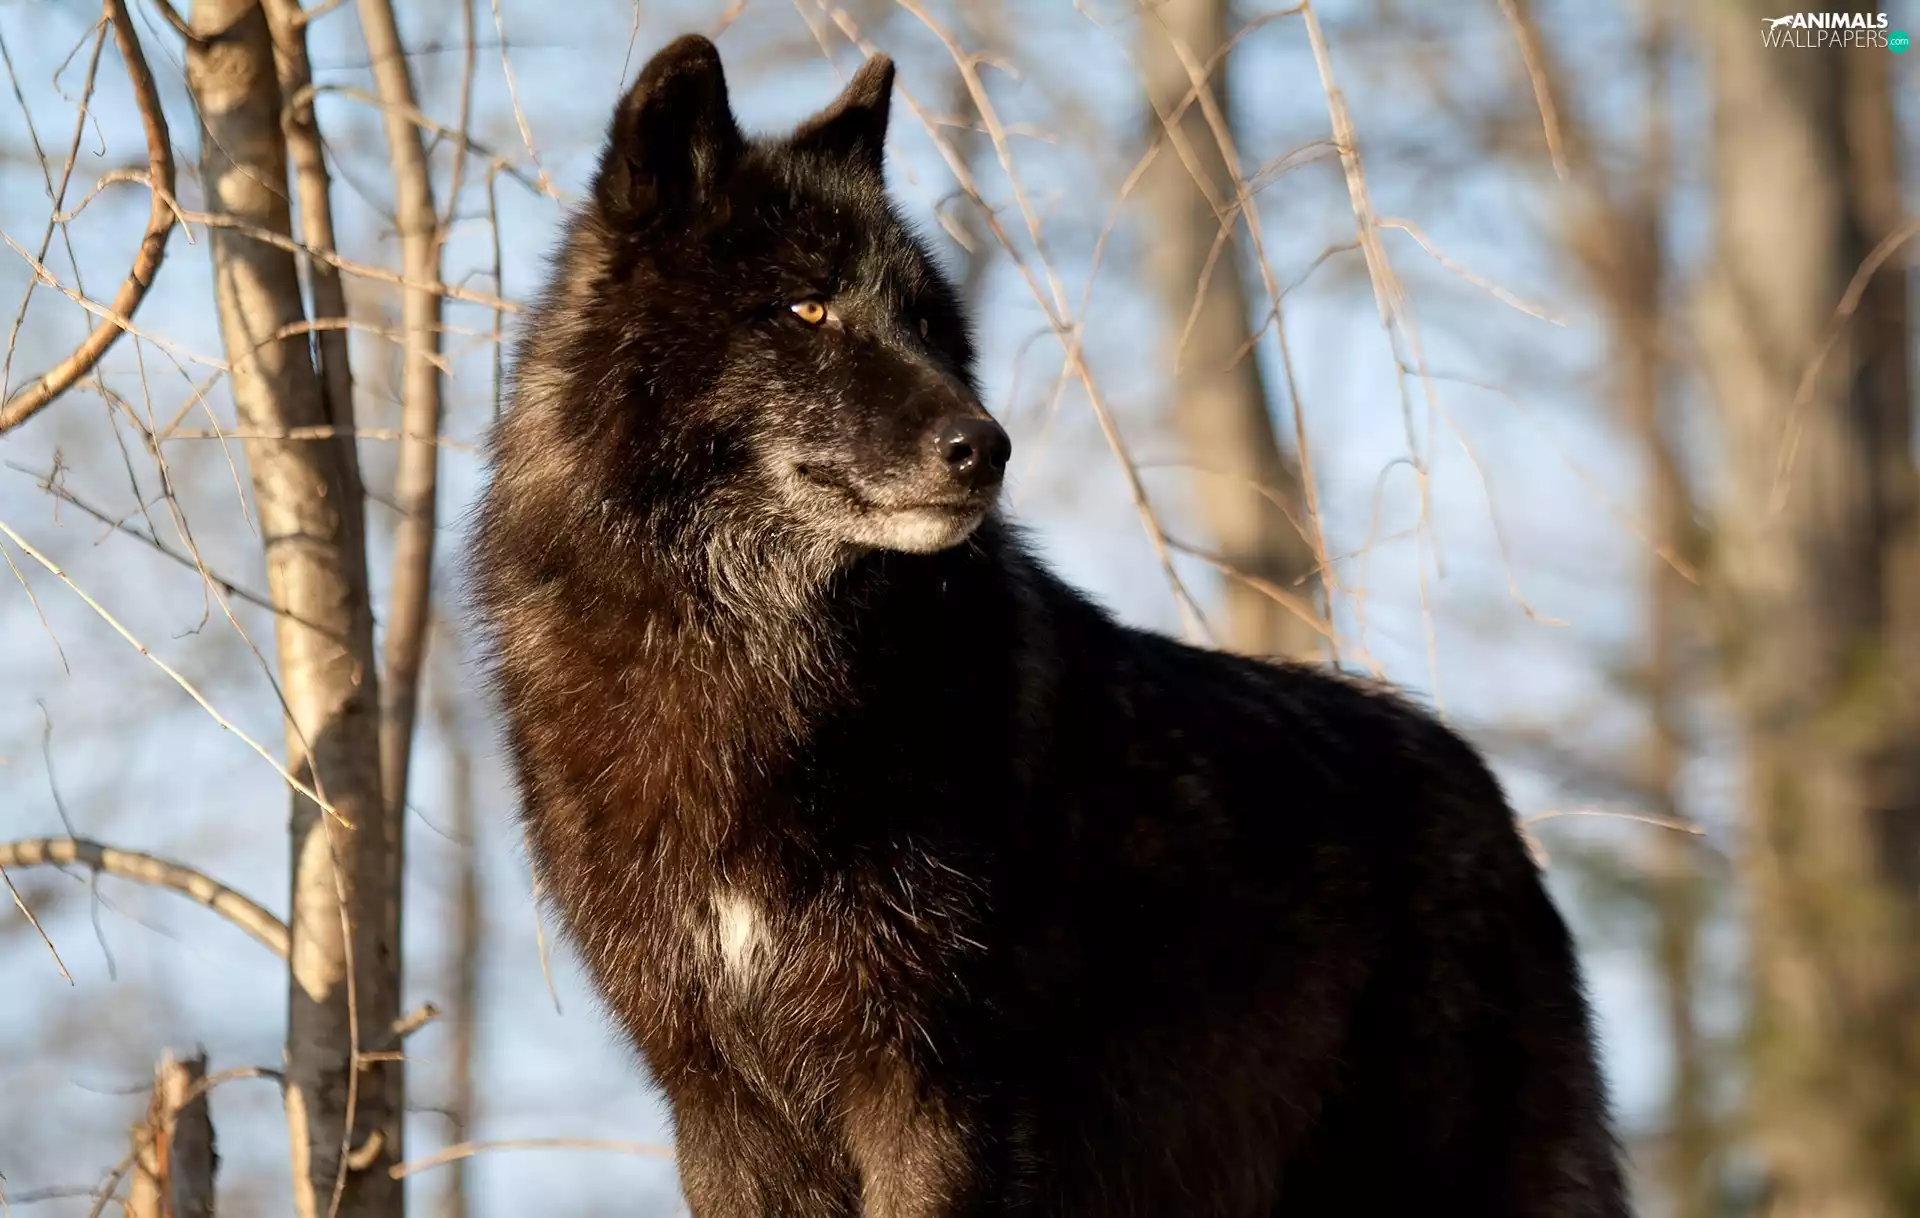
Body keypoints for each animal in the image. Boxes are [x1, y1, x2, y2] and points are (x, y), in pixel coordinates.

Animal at [471, 34, 1629, 1218]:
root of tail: (1482, 786)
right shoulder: (720, 1110)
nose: (986, 445)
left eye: (929, 327)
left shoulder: (935, 1087)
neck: (744, 659)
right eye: (805, 310)